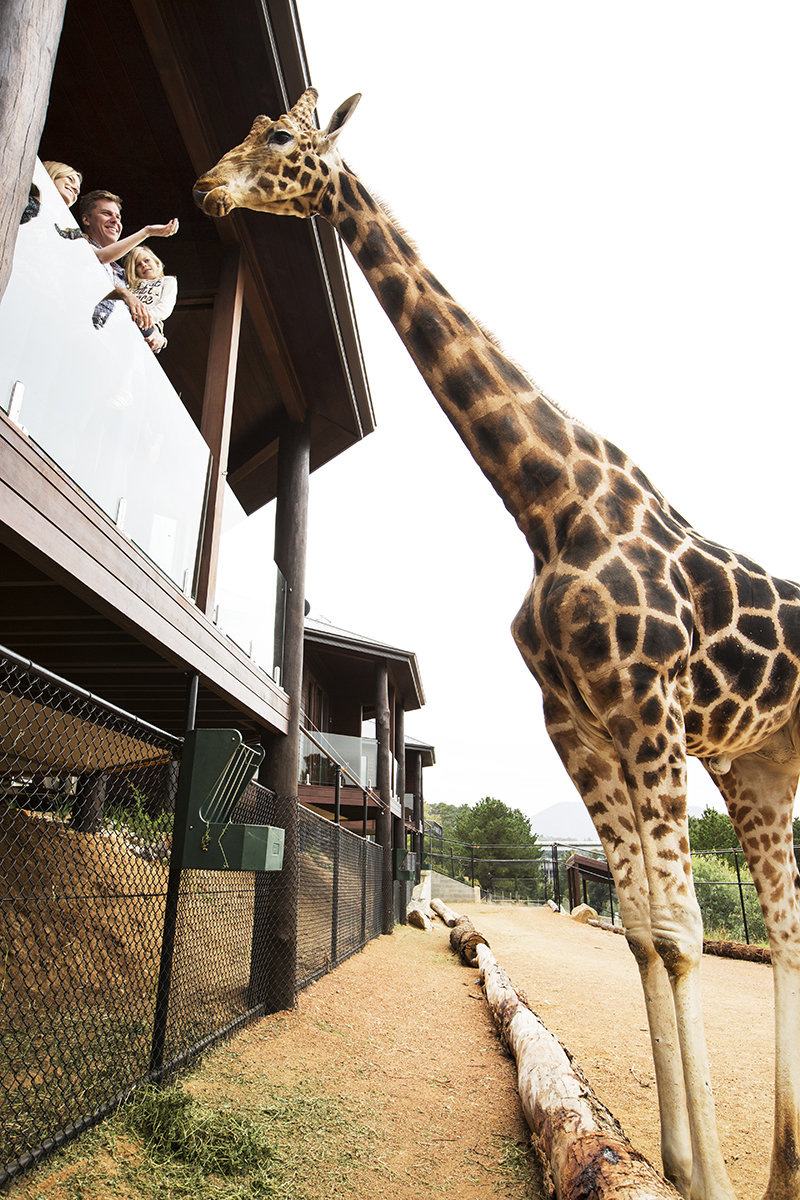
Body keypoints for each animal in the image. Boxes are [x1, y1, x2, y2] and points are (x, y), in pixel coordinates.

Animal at [195, 88, 800, 1195]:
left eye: (280, 139)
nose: (208, 188)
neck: (549, 505)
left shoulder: (648, 707)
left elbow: (683, 933)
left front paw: (707, 1177)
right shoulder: (580, 723)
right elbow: (645, 933)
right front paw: (679, 1164)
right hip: (757, 763)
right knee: (785, 932)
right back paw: (785, 1171)